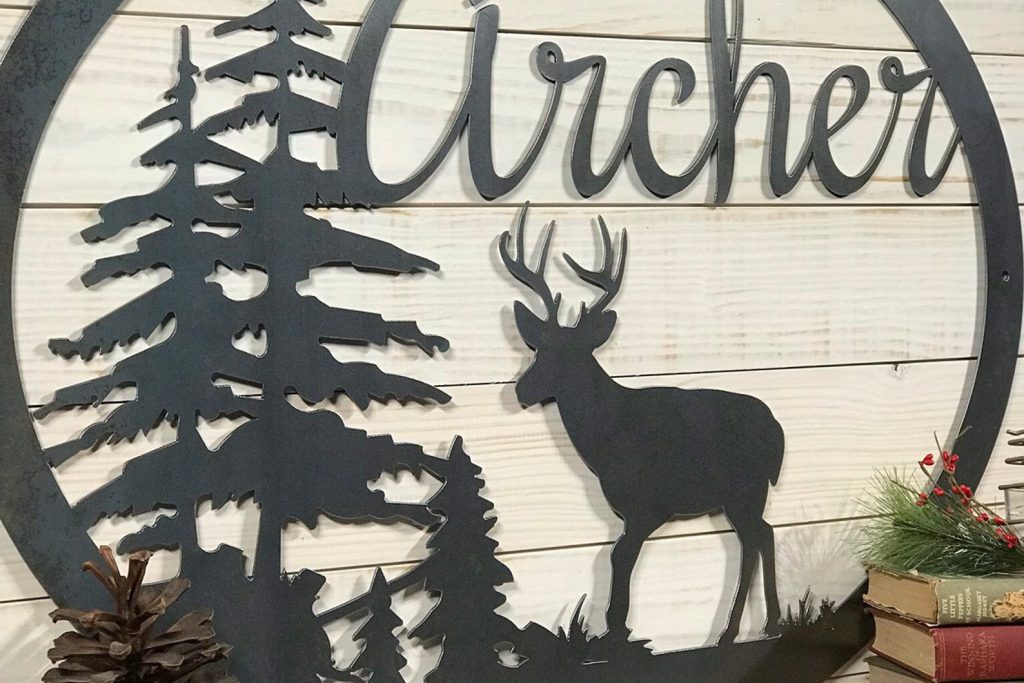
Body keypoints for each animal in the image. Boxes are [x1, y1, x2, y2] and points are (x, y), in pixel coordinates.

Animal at [498, 205, 785, 646]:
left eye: (568, 356)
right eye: (539, 349)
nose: (520, 390)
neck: (603, 439)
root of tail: (778, 432)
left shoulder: (647, 504)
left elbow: (619, 554)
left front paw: (615, 629)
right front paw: (615, 628)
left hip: (745, 488)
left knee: (754, 540)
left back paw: (731, 632)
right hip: (742, 495)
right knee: (764, 535)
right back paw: (767, 624)